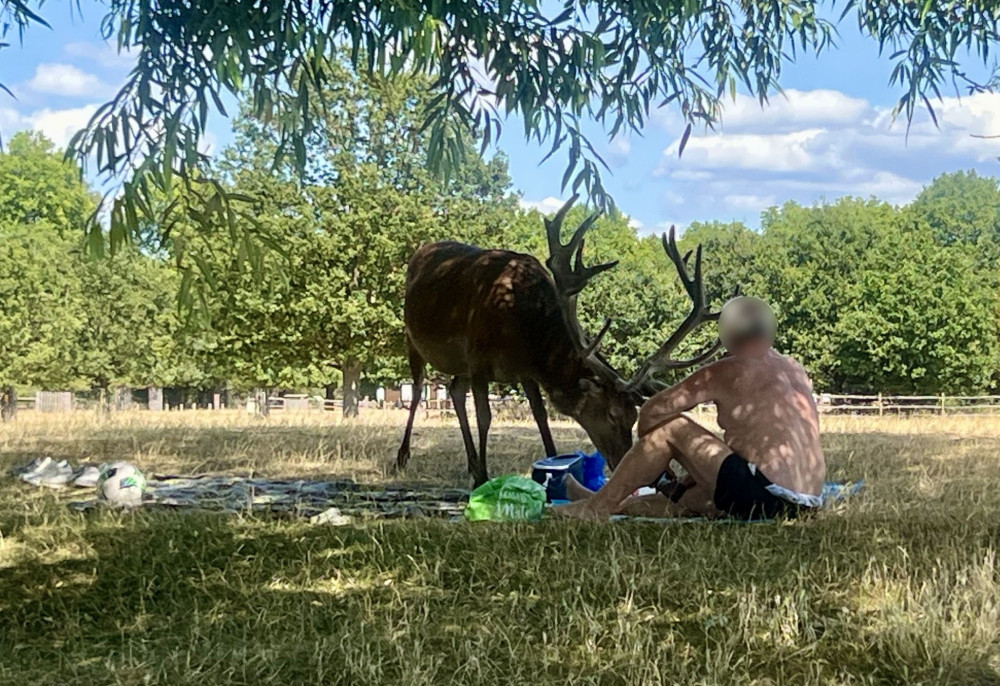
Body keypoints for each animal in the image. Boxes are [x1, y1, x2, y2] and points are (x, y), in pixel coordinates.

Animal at [394, 195, 724, 486]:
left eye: (634, 416)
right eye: (612, 414)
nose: (628, 463)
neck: (522, 328)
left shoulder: (524, 370)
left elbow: (541, 416)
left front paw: (553, 463)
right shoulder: (478, 359)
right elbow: (486, 417)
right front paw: (484, 478)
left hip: (458, 364)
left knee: (453, 389)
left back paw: (471, 464)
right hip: (413, 336)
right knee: (419, 387)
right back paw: (404, 456)